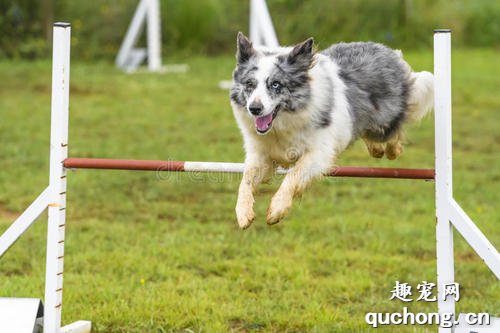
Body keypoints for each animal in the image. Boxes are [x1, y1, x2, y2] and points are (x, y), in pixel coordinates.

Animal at [229, 31, 432, 228]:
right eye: (249, 84)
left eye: (276, 84)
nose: (254, 108)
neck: (282, 125)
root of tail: (389, 51)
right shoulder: (260, 154)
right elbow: (246, 180)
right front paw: (243, 213)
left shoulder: (318, 153)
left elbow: (293, 175)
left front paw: (277, 209)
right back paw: (376, 149)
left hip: (384, 121)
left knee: (392, 132)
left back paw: (391, 150)